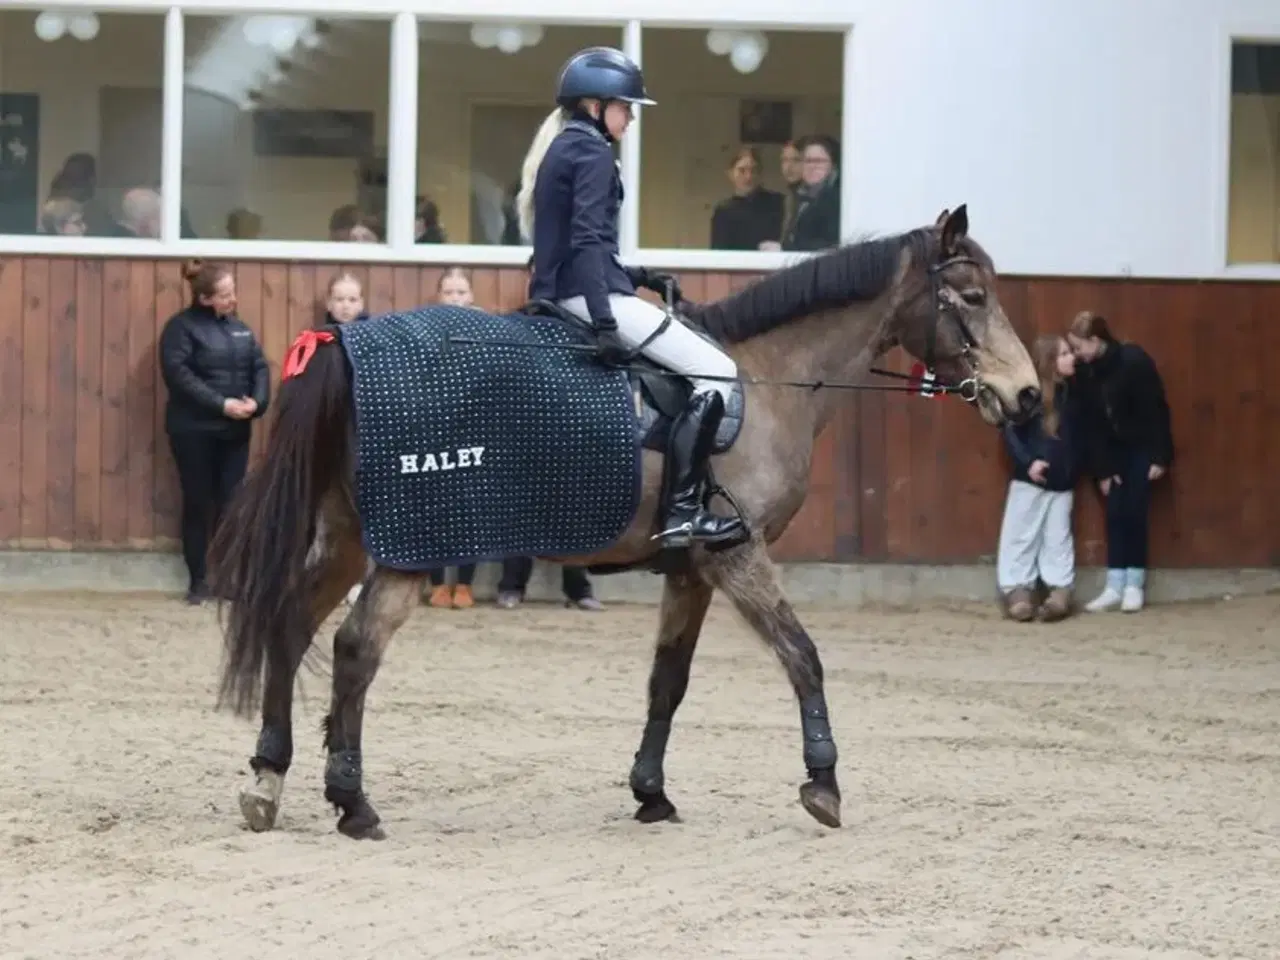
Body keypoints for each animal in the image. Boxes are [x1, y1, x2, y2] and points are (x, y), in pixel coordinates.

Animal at [207, 204, 1039, 839]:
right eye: (970, 296)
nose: (1028, 394)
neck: (766, 377)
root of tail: (341, 342)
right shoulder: (737, 555)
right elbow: (802, 656)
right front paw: (823, 784)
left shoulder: (693, 568)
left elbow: (667, 682)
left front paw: (651, 792)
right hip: (413, 545)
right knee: (354, 649)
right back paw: (352, 802)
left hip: (353, 538)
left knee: (291, 624)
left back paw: (268, 778)